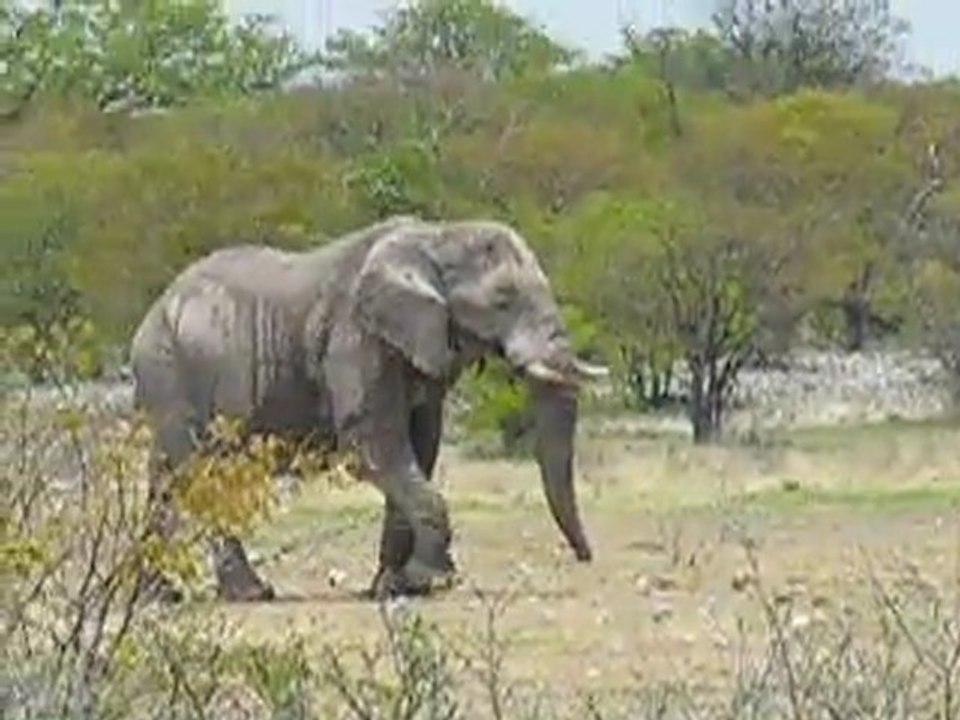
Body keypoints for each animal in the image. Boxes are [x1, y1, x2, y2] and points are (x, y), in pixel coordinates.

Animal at [129, 215, 608, 602]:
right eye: (504, 299)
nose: (585, 557)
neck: (436, 237)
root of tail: (149, 317)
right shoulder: (356, 337)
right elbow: (374, 444)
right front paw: (431, 580)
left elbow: (421, 445)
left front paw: (395, 587)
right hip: (172, 373)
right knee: (198, 471)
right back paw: (251, 594)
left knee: (164, 479)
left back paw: (159, 597)